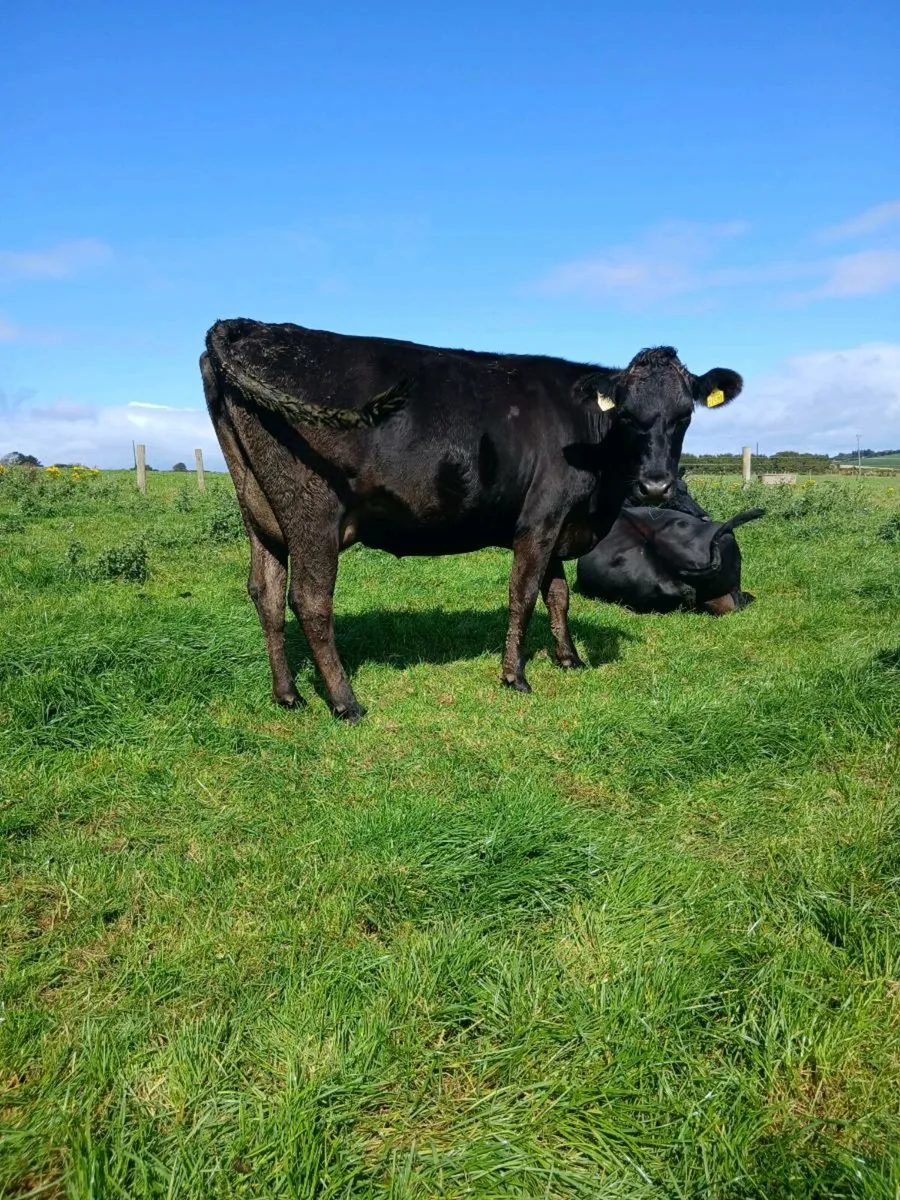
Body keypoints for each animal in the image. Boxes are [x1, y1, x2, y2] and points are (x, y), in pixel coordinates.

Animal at [201, 319, 743, 718]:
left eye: (685, 416)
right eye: (627, 415)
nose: (656, 486)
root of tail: (246, 326)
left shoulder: (557, 522)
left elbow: (559, 595)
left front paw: (569, 659)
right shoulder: (540, 519)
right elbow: (524, 595)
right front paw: (515, 676)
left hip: (259, 509)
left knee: (266, 593)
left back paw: (288, 695)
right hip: (312, 510)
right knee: (310, 600)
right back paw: (345, 702)